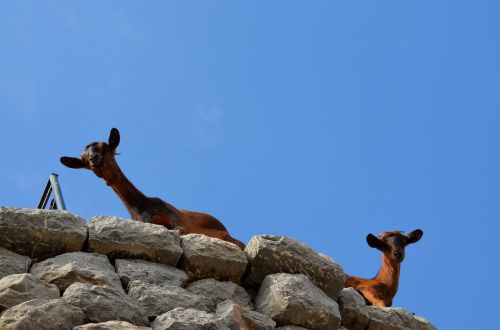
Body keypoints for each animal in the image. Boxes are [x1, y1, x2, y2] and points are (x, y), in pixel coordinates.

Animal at [60, 127, 246, 249]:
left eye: (105, 147)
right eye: (83, 159)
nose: (93, 158)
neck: (140, 203)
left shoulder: (173, 215)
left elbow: (180, 228)